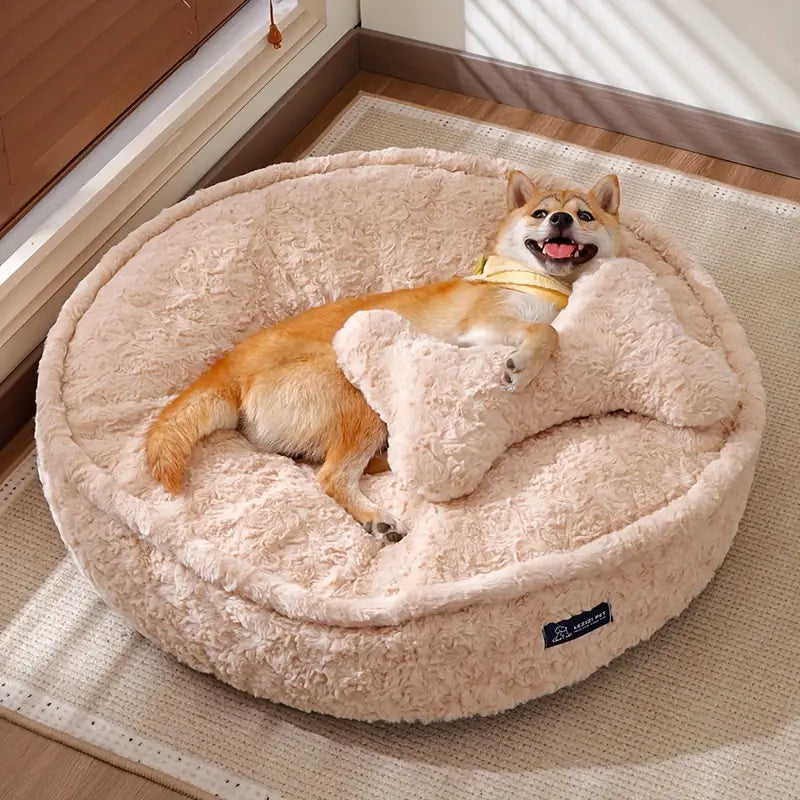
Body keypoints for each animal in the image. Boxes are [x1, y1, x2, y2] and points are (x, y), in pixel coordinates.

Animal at [147, 171, 620, 540]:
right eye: (540, 214)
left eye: (585, 215)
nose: (560, 219)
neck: (538, 282)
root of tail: (230, 371)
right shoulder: (482, 326)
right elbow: (546, 331)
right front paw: (523, 367)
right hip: (357, 398)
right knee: (332, 476)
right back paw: (375, 516)